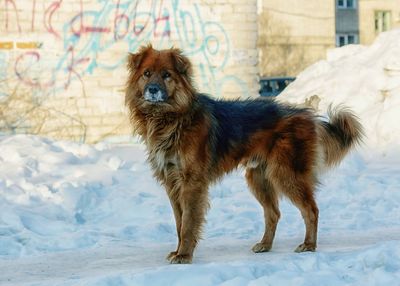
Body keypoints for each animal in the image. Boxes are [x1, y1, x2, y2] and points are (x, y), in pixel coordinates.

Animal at [124, 44, 362, 264]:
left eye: (167, 75)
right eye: (147, 73)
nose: (153, 89)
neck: (172, 118)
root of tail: (308, 115)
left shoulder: (191, 182)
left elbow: (188, 222)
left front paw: (184, 254)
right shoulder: (172, 182)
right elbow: (179, 222)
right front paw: (178, 251)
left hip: (286, 174)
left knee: (311, 210)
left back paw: (309, 245)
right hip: (258, 178)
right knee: (274, 213)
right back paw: (265, 245)